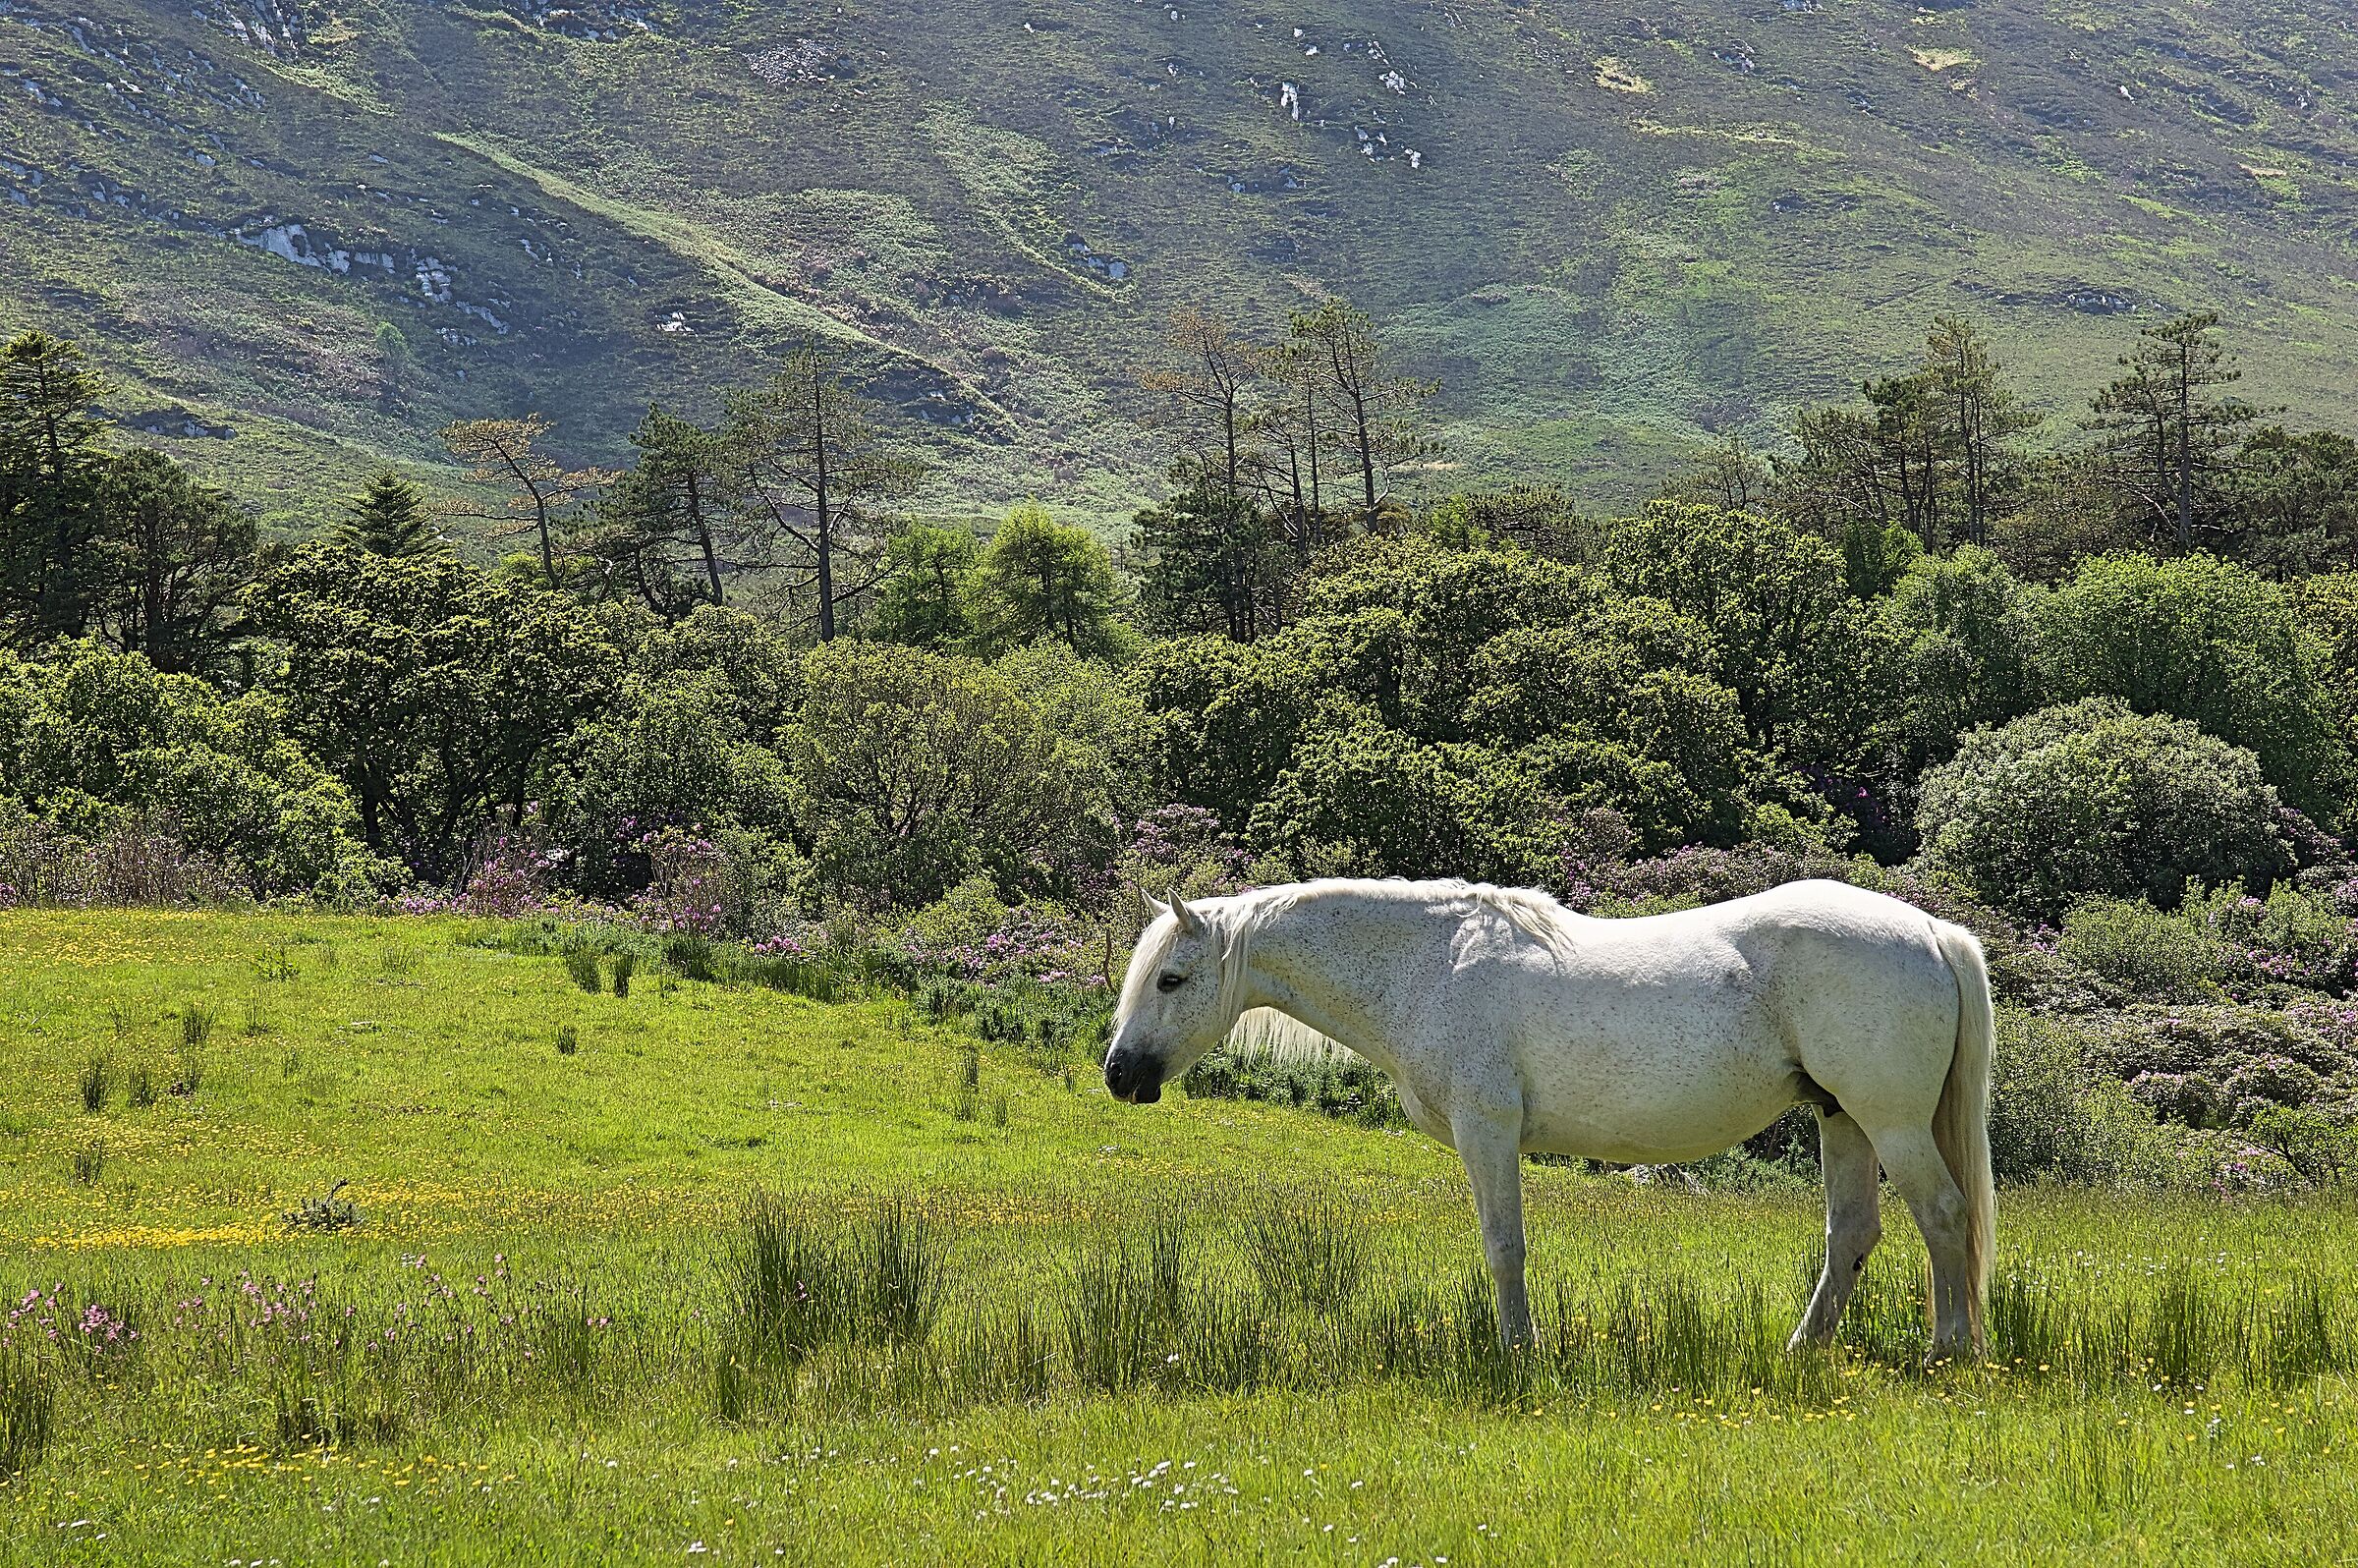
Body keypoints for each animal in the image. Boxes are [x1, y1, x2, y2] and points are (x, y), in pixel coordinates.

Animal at [1101, 877, 1995, 1362]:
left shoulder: (1487, 1134)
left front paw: (1517, 1352)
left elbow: (1505, 1249)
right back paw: (1802, 1350)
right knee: (1853, 1235)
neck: (1428, 966)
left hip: (1892, 1125)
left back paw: (1948, 1349)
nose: (1119, 1074)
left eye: (1172, 979)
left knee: (1944, 1217)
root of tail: (1930, 930)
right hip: (1844, 1120)